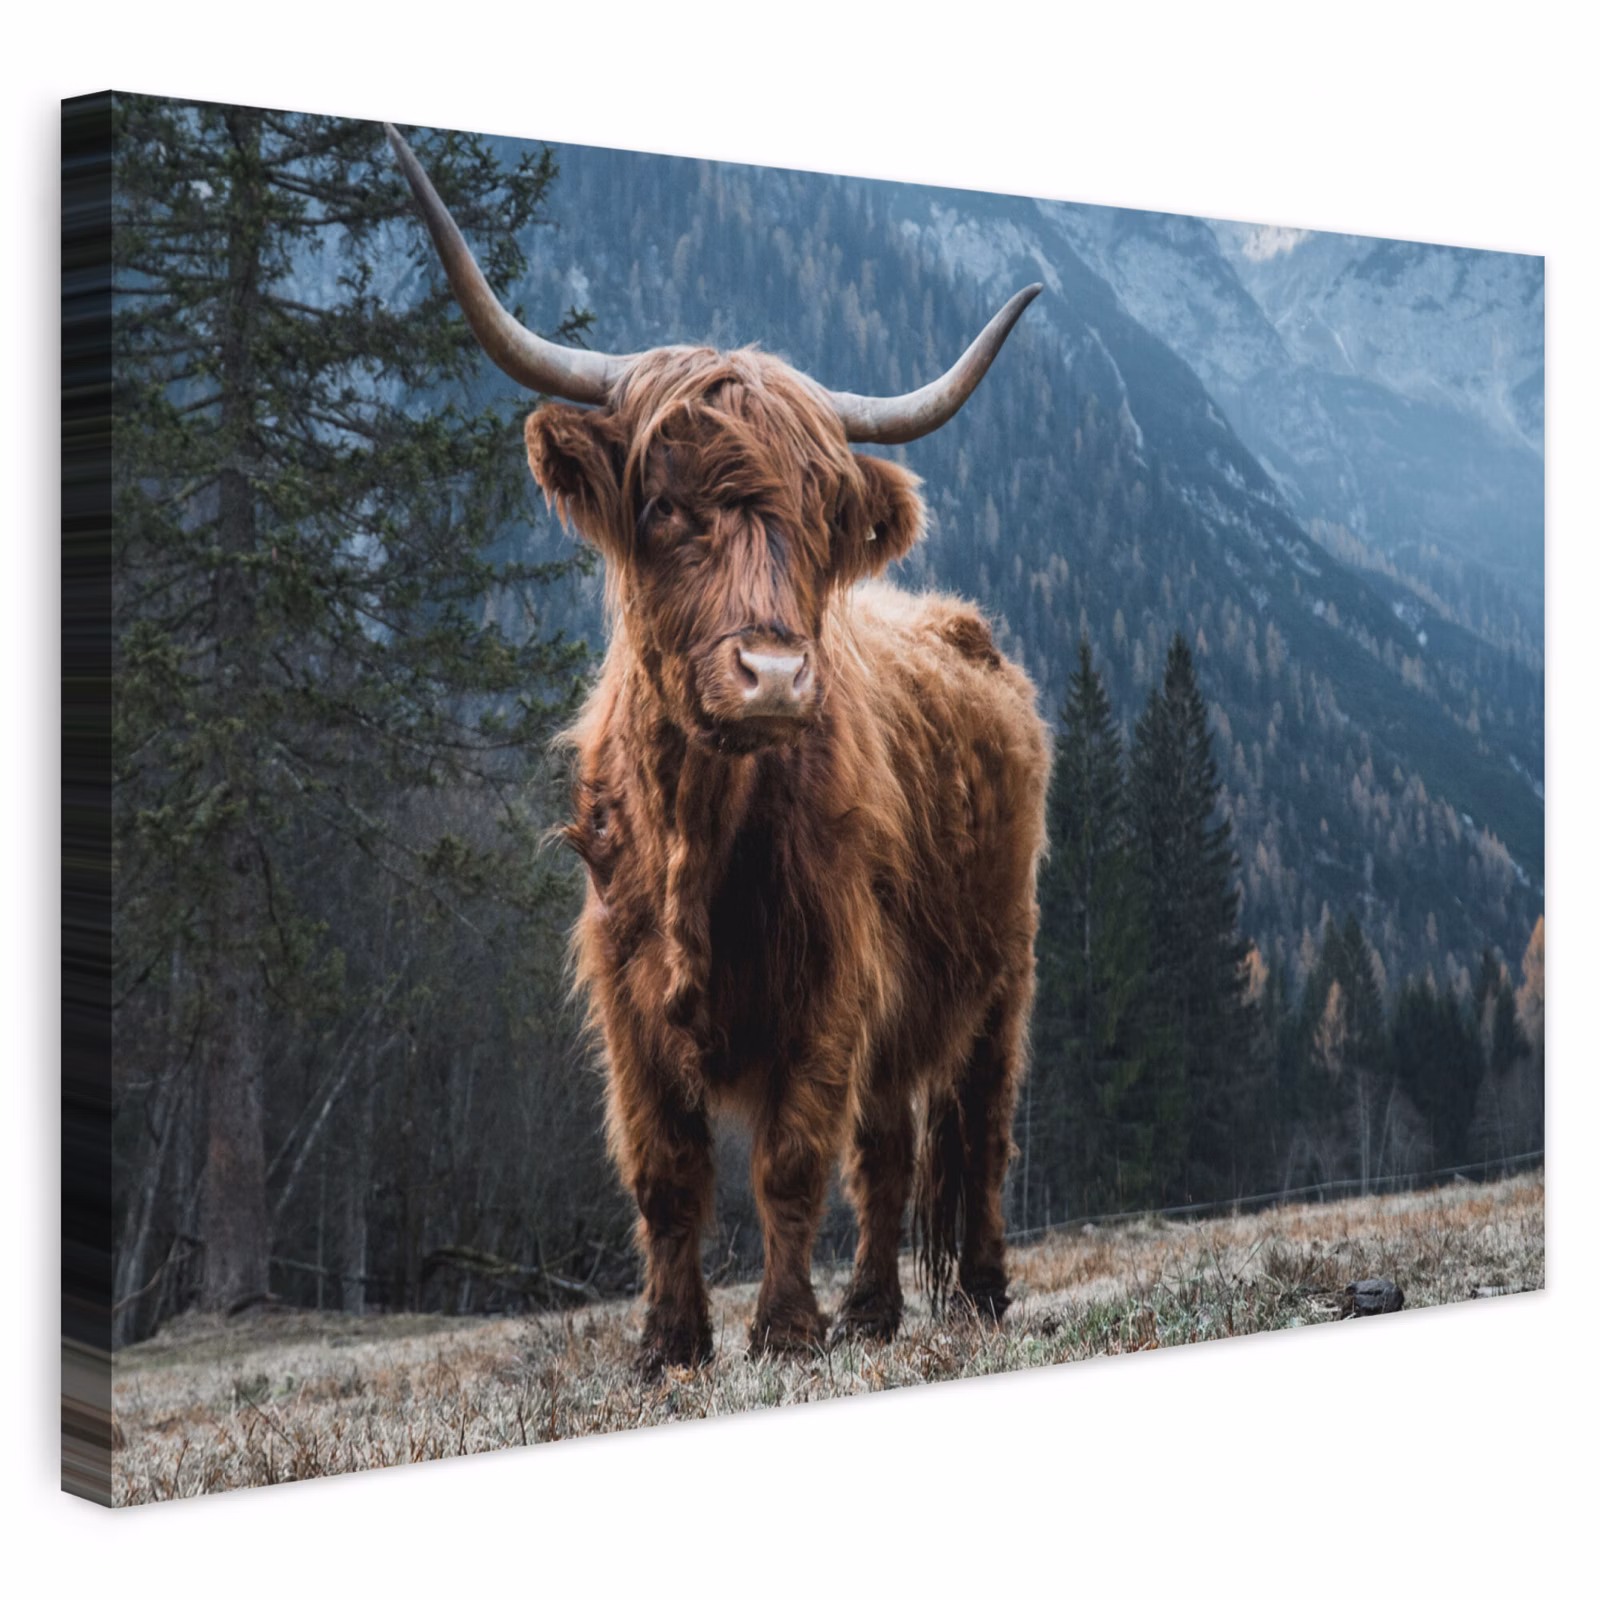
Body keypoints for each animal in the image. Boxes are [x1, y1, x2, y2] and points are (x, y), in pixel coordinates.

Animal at [388, 126, 1051, 1375]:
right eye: (662, 505)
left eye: (817, 517)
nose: (776, 676)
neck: (698, 825)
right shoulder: (626, 992)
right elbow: (667, 1172)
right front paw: (669, 1344)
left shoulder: (831, 976)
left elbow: (789, 1161)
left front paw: (785, 1331)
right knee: (888, 1149)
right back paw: (874, 1309)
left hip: (1001, 969)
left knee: (976, 1130)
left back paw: (976, 1291)